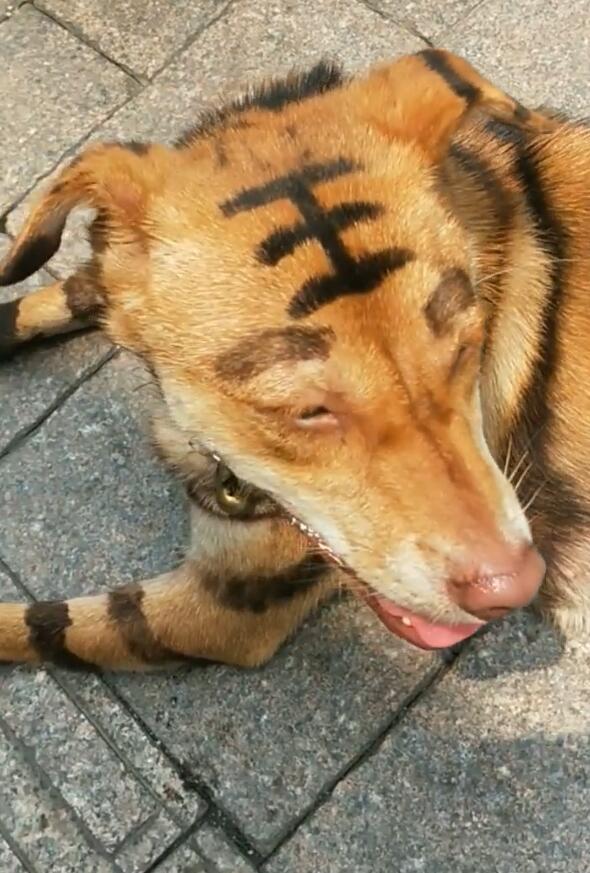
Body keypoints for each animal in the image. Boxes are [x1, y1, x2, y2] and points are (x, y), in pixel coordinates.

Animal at [0, 49, 587, 672]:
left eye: (465, 350)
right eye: (307, 411)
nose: (515, 586)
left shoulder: (219, 607)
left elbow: (35, 624)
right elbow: (64, 291)